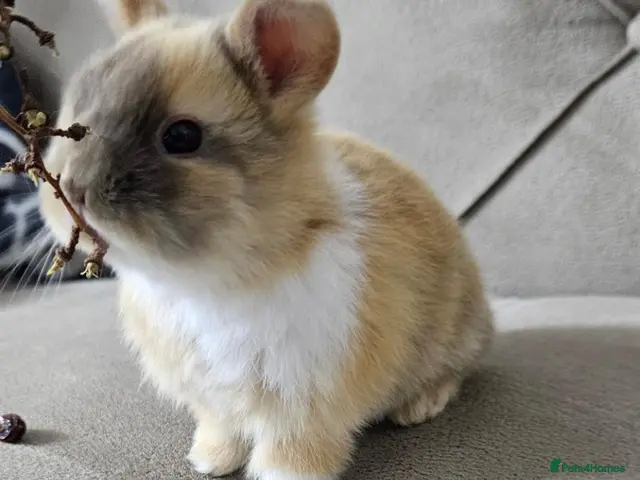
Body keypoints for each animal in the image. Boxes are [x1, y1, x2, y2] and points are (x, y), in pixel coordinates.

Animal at [39, 0, 495, 478]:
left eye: (181, 136)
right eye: (74, 113)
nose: (72, 189)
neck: (210, 280)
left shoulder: (306, 403)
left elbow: (291, 450)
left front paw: (279, 475)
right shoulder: (214, 401)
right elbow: (223, 429)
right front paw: (209, 461)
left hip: (452, 337)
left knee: (454, 372)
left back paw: (420, 407)